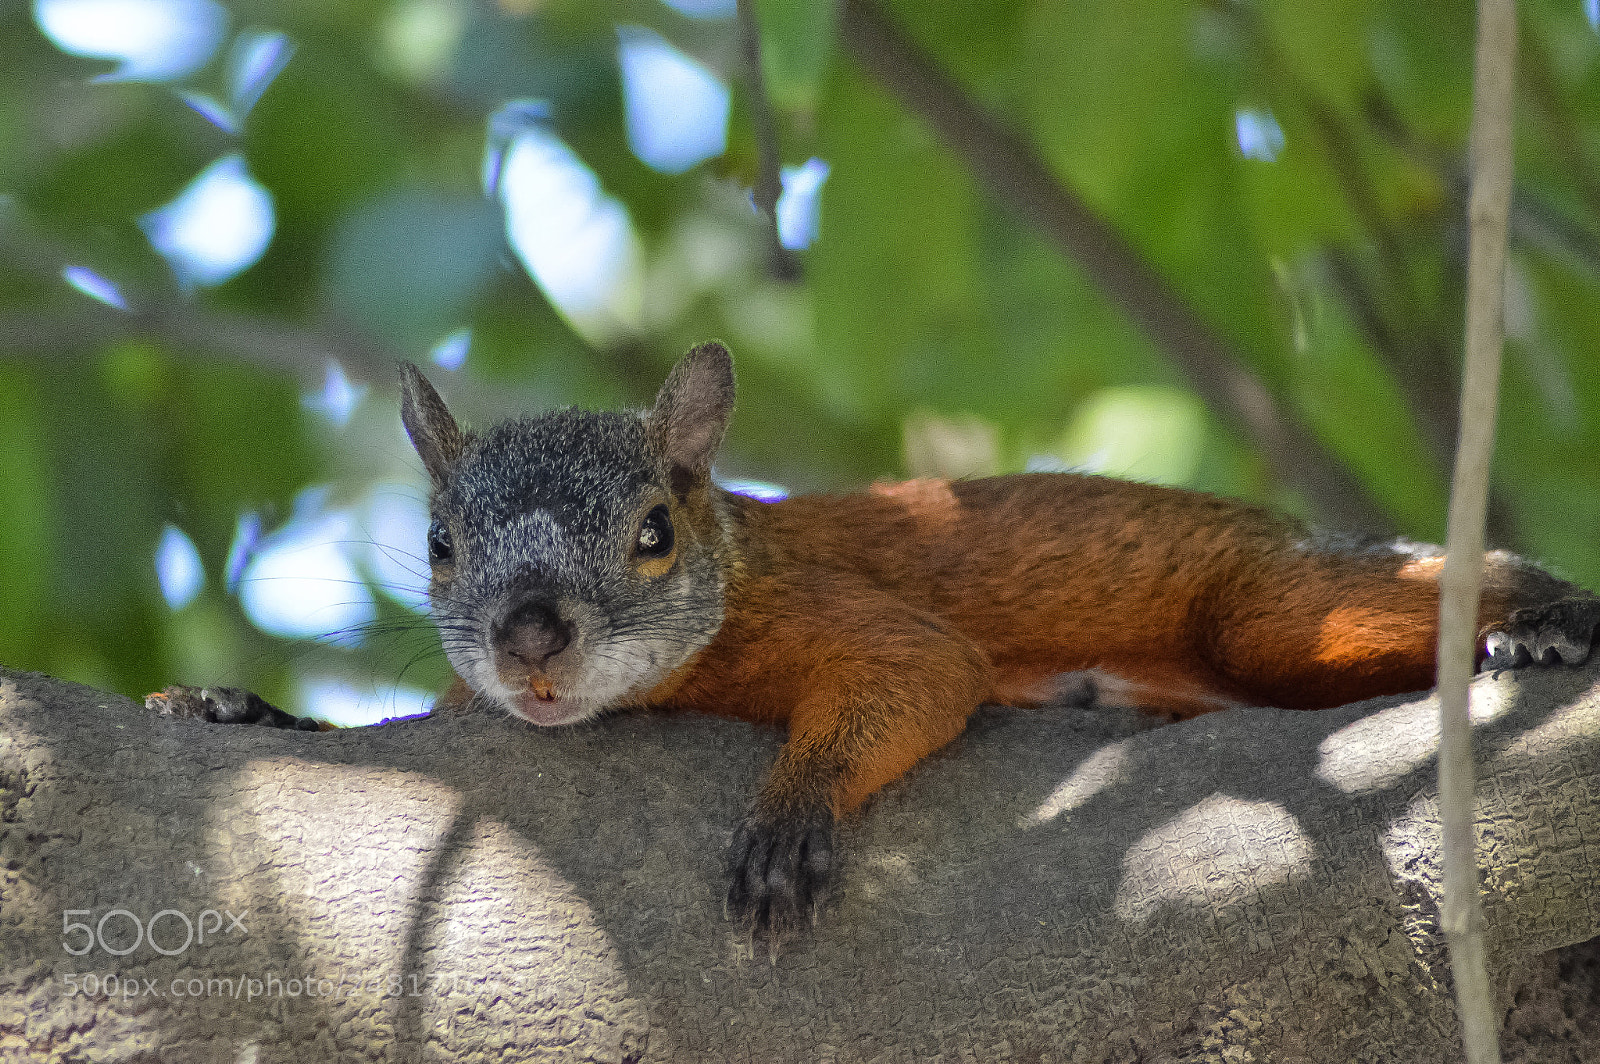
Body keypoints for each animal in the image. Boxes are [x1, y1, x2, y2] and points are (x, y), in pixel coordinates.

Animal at [154, 340, 1600, 935]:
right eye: (442, 542)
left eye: (653, 532)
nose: (530, 640)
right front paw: (240, 709)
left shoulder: (842, 611)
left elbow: (917, 672)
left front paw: (788, 817)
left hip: (1268, 611)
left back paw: (1543, 625)